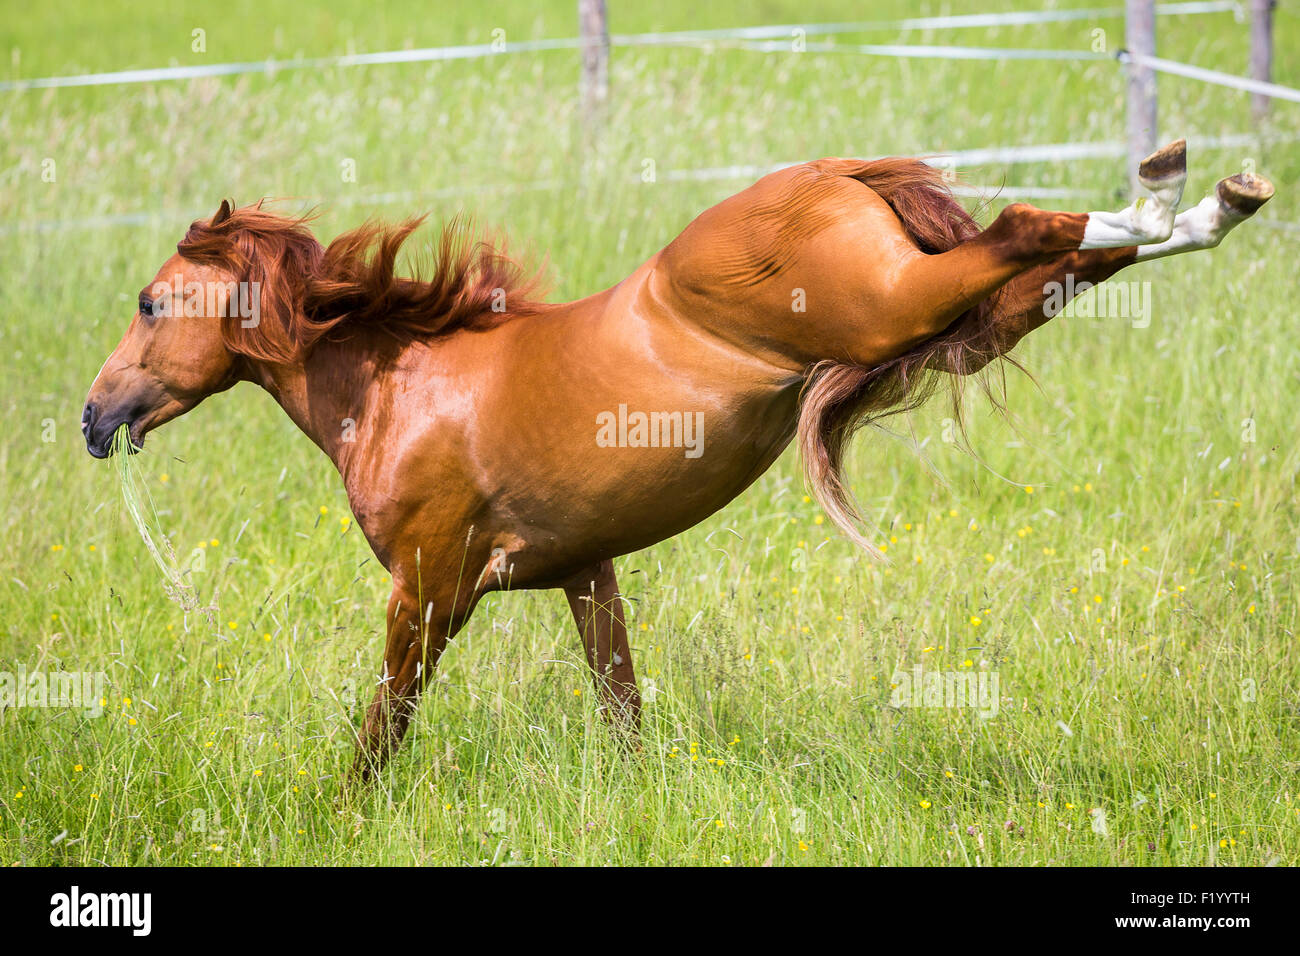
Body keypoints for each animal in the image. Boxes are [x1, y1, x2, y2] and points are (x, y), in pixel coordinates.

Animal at [86, 140, 1274, 780]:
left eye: (149, 303)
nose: (95, 419)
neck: (401, 387)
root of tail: (831, 173)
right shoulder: (583, 573)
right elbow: (619, 707)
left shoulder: (428, 587)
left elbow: (385, 722)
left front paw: (341, 814)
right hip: (932, 320)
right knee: (1059, 264)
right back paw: (1213, 196)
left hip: (890, 309)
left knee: (1035, 222)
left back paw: (1175, 185)